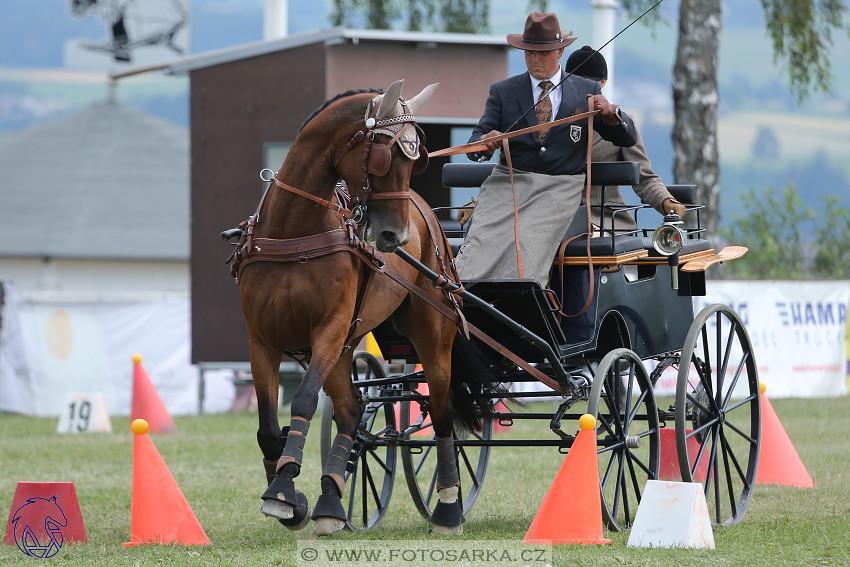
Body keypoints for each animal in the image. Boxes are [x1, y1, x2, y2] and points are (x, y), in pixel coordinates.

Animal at [227, 80, 490, 536]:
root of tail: (431, 219)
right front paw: (291, 495)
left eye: (414, 160)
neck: (294, 231)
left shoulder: (329, 328)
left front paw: (282, 489)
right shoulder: (262, 339)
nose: (395, 237)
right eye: (384, 157)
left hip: (429, 335)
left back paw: (448, 509)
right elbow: (266, 426)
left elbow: (303, 400)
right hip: (348, 343)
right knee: (352, 409)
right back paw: (332, 501)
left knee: (441, 416)